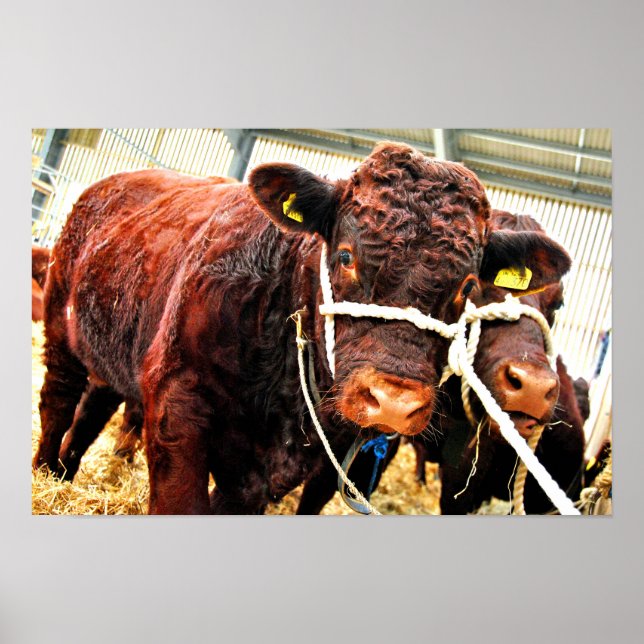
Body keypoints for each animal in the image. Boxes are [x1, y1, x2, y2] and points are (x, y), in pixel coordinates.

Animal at [34, 143, 571, 514]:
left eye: (466, 286)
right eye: (345, 255)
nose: (394, 401)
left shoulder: (275, 473)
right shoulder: (177, 403)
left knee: (94, 404)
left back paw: (64, 473)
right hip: (61, 323)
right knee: (58, 400)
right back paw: (45, 473)